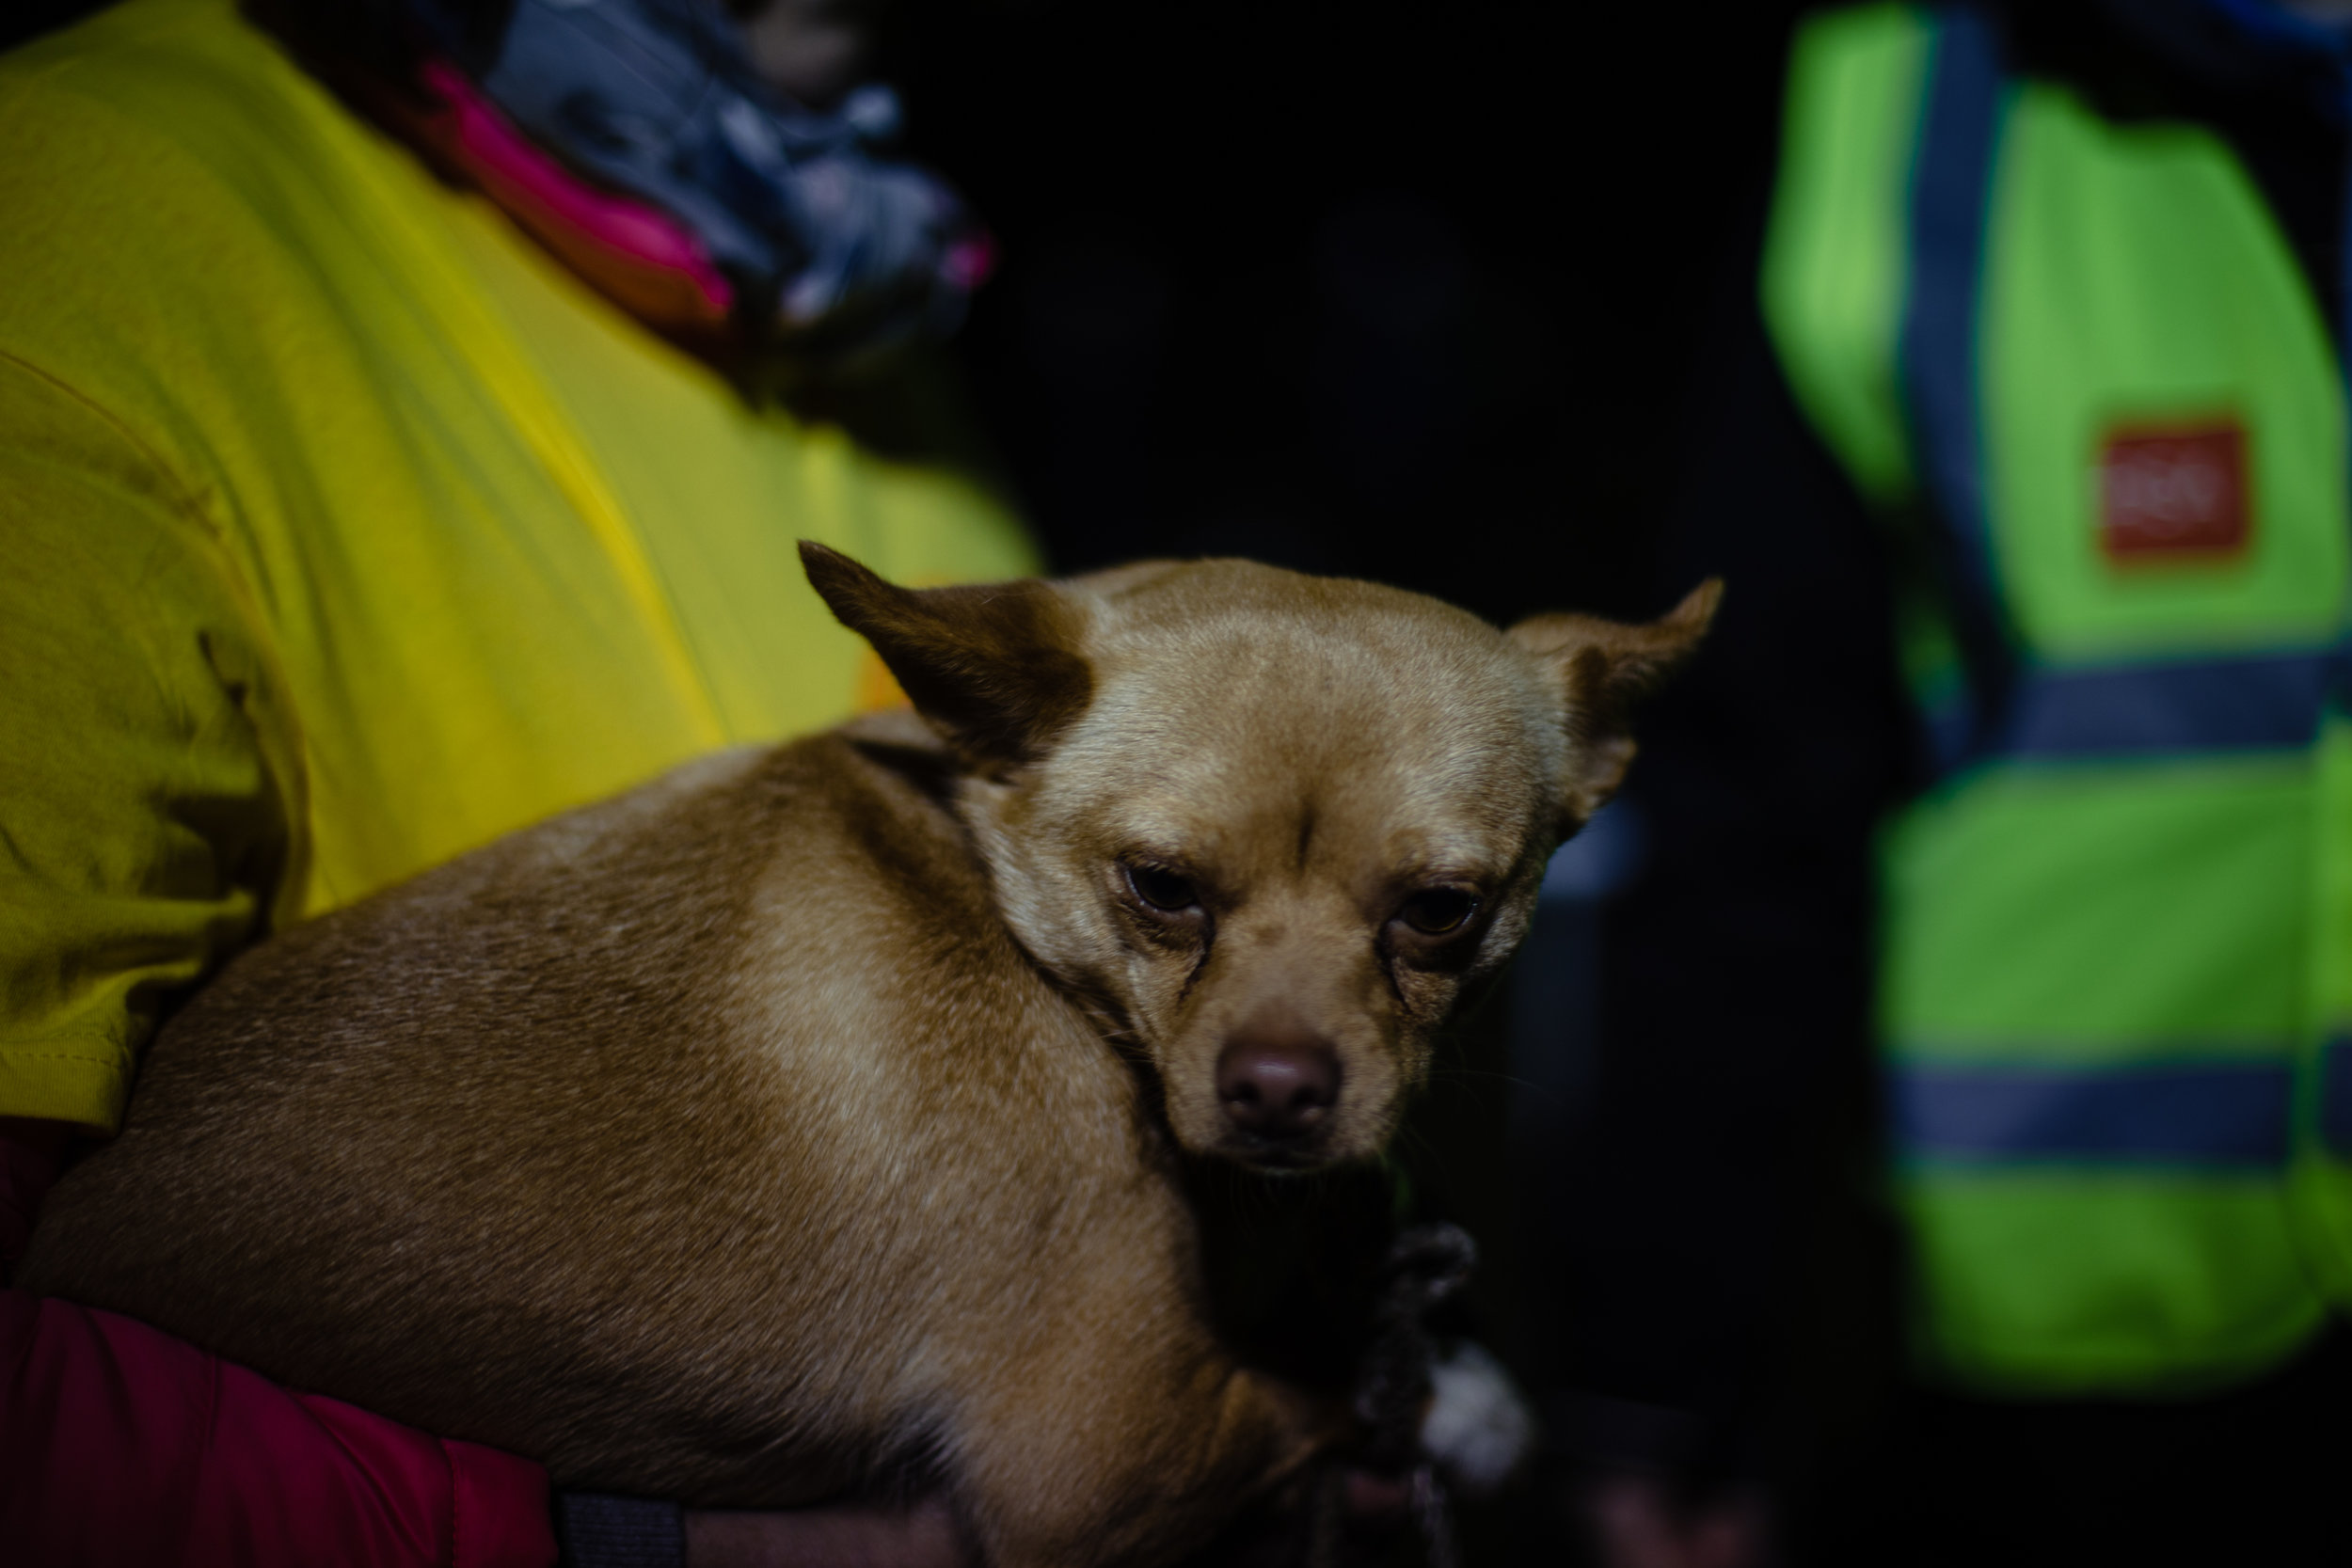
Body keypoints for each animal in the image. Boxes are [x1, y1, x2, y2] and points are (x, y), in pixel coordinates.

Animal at [13, 545, 1712, 1560]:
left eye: (1441, 910)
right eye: (1161, 888)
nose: (1281, 1093)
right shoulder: (1104, 1466)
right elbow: (1344, 1395)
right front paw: (1448, 1392)